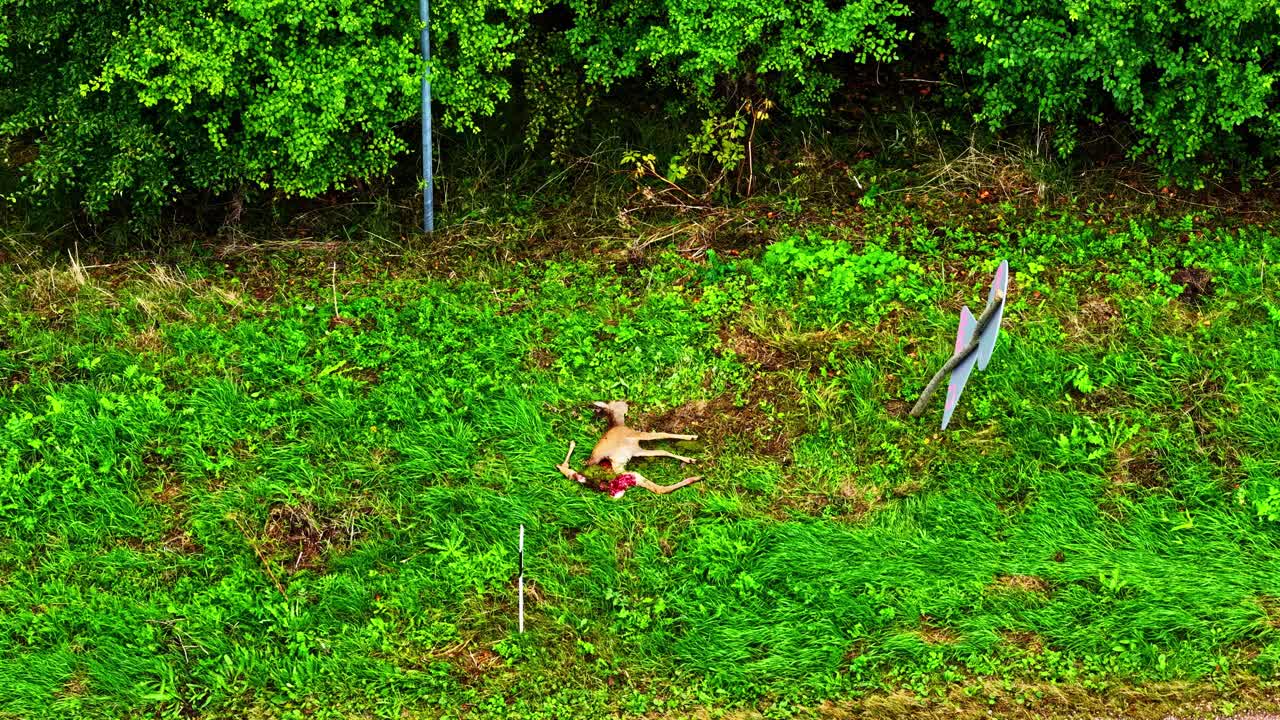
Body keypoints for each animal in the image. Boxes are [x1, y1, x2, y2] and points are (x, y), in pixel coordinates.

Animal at [555, 401, 703, 498]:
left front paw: (689, 458)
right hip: (620, 469)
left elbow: (662, 451)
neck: (617, 425)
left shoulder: (636, 450)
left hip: (630, 475)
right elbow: (663, 434)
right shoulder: (635, 435)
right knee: (566, 467)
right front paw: (692, 437)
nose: (627, 402)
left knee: (658, 489)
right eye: (615, 401)